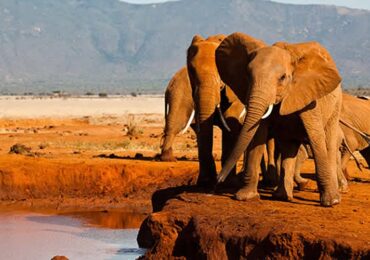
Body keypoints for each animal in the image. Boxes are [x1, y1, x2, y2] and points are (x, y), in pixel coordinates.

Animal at [188, 34, 246, 188]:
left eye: (221, 73)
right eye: (191, 71)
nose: (215, 180)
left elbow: (231, 120)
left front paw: (228, 183)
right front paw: (204, 182)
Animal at [215, 33, 342, 207]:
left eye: (282, 78)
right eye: (248, 75)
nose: (219, 179)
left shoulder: (310, 99)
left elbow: (315, 137)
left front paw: (330, 202)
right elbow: (257, 136)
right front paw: (245, 197)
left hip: (335, 107)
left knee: (328, 143)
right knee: (289, 147)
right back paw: (281, 196)